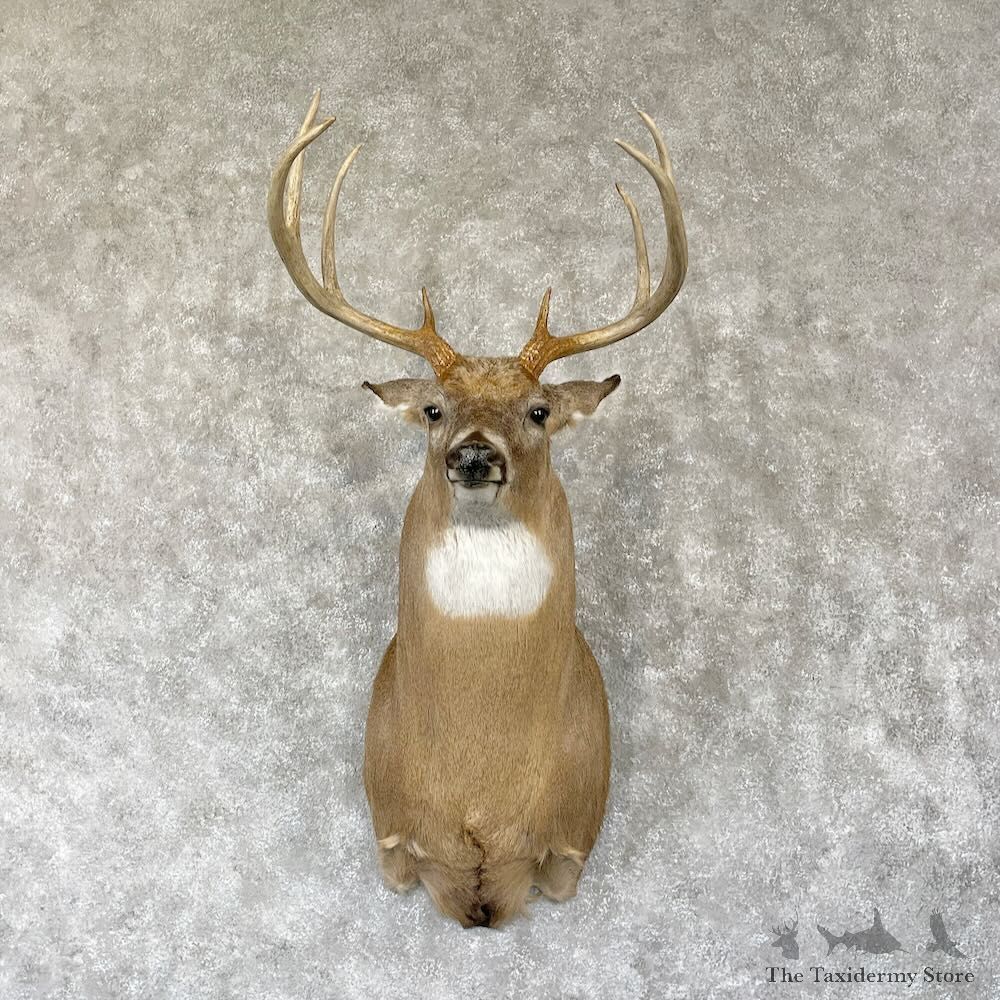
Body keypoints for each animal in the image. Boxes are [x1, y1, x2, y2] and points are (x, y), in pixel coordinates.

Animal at [267, 91, 687, 928]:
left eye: (538, 411)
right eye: (433, 409)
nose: (473, 454)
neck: (480, 787)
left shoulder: (569, 845)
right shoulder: (393, 834)